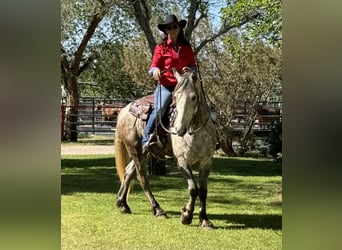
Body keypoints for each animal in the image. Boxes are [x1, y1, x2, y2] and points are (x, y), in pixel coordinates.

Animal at [115, 68, 216, 229]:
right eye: (176, 96)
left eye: (194, 97)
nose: (179, 129)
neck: (195, 130)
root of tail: (124, 110)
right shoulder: (182, 161)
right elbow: (193, 189)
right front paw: (186, 215)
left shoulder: (206, 161)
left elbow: (203, 191)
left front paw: (204, 219)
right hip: (134, 149)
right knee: (142, 178)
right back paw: (158, 210)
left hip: (144, 152)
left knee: (128, 172)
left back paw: (122, 204)